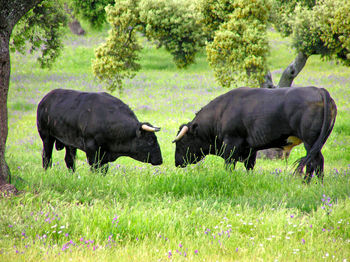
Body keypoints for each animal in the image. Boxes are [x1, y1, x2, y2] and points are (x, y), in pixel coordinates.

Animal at [174, 86, 338, 182]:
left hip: (310, 141)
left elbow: (229, 166)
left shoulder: (231, 145)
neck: (221, 112)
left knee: (313, 162)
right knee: (317, 162)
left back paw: (306, 183)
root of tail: (319, 90)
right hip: (317, 142)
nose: (176, 162)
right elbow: (250, 167)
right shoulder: (250, 149)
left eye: (182, 142)